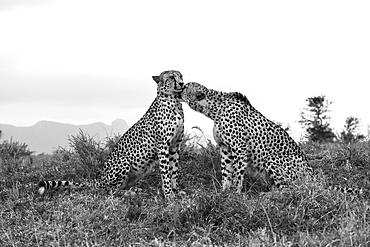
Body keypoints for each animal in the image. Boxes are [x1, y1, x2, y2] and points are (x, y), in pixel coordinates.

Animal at [38, 69, 185, 199]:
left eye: (181, 75)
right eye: (171, 77)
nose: (182, 83)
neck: (174, 101)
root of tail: (100, 178)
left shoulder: (175, 145)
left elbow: (174, 171)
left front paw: (176, 191)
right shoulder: (163, 146)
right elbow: (166, 173)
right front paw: (169, 195)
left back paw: (134, 189)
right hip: (123, 161)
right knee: (109, 191)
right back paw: (128, 193)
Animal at [180, 82, 312, 192]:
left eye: (185, 87)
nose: (179, 89)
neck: (216, 109)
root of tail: (311, 174)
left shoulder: (240, 148)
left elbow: (237, 174)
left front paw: (235, 193)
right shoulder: (225, 148)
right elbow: (226, 172)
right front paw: (224, 193)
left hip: (272, 159)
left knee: (290, 189)